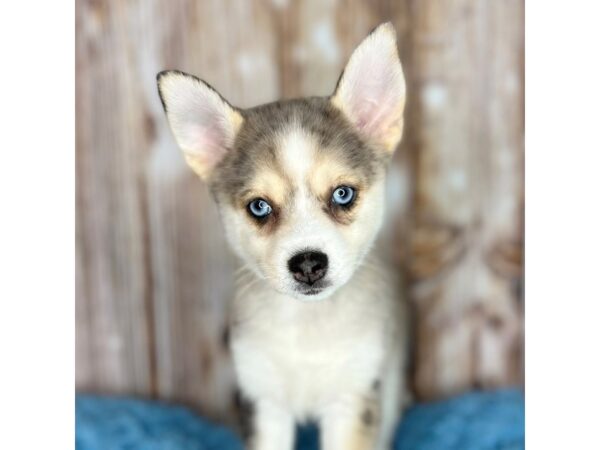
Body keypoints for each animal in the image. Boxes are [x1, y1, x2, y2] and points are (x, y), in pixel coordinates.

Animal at [157, 22, 410, 450]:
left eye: (343, 194)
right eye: (260, 207)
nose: (308, 263)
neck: (306, 328)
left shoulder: (353, 398)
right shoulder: (262, 399)